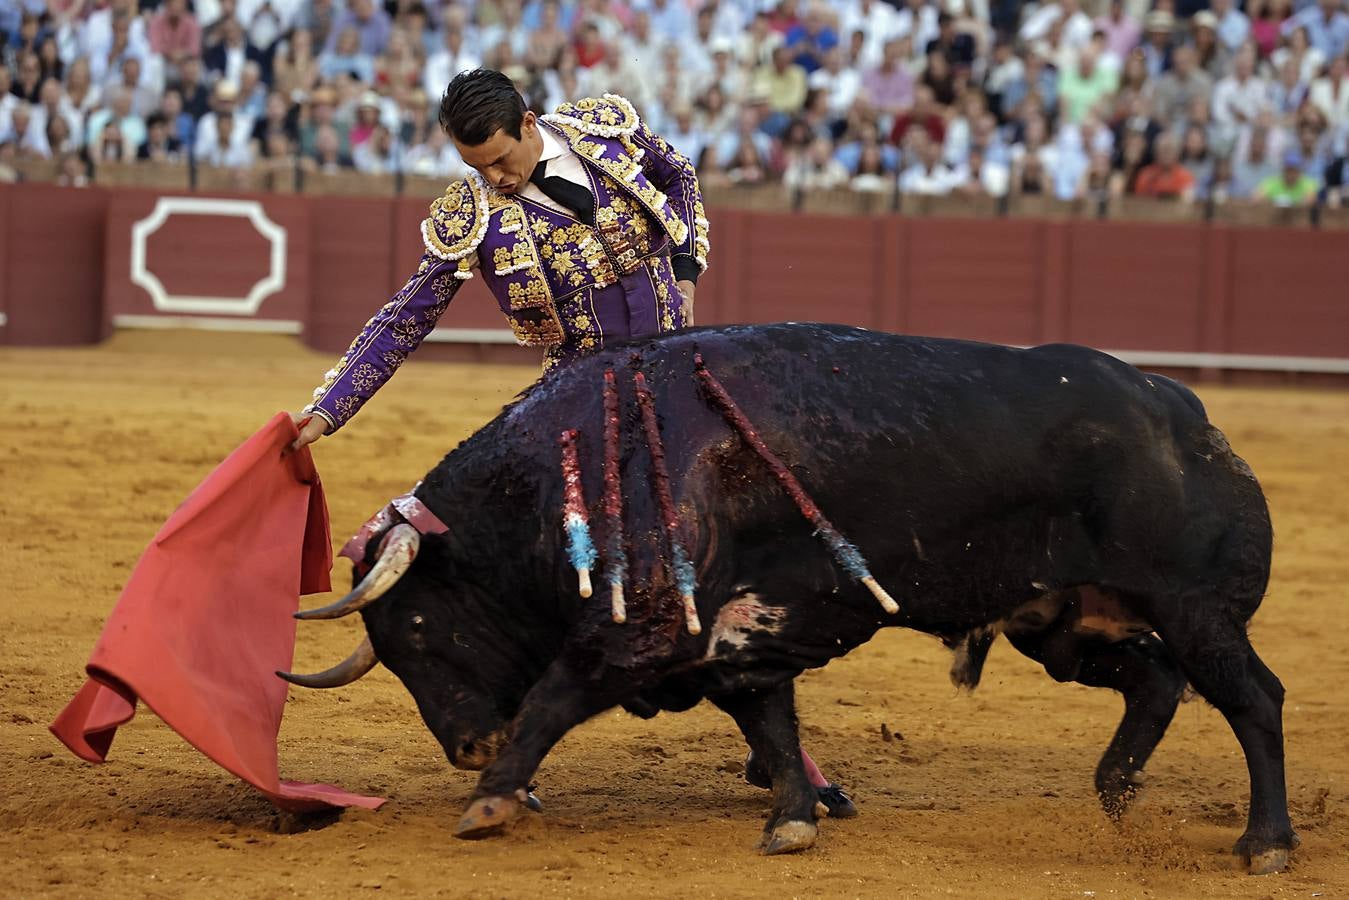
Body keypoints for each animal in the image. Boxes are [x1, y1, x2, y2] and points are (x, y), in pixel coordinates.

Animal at [284, 323, 1295, 874]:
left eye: (417, 627)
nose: (468, 749)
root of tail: (1187, 417)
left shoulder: (642, 625)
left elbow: (555, 695)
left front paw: (491, 801)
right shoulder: (742, 634)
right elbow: (768, 721)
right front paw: (793, 821)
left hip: (1196, 610)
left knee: (1252, 698)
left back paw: (1265, 842)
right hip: (1063, 623)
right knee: (1153, 682)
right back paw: (1113, 797)